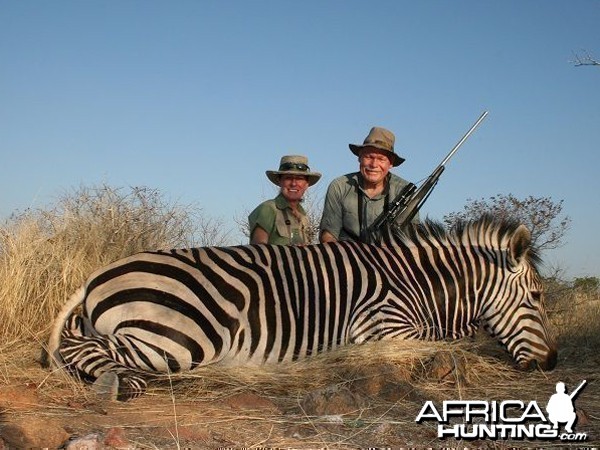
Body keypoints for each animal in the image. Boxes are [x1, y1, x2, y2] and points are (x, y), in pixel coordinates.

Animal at [45, 216, 556, 400]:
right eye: (536, 297)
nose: (553, 361)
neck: (416, 282)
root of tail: (99, 274)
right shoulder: (382, 327)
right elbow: (448, 347)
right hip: (181, 337)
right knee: (79, 350)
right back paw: (121, 384)